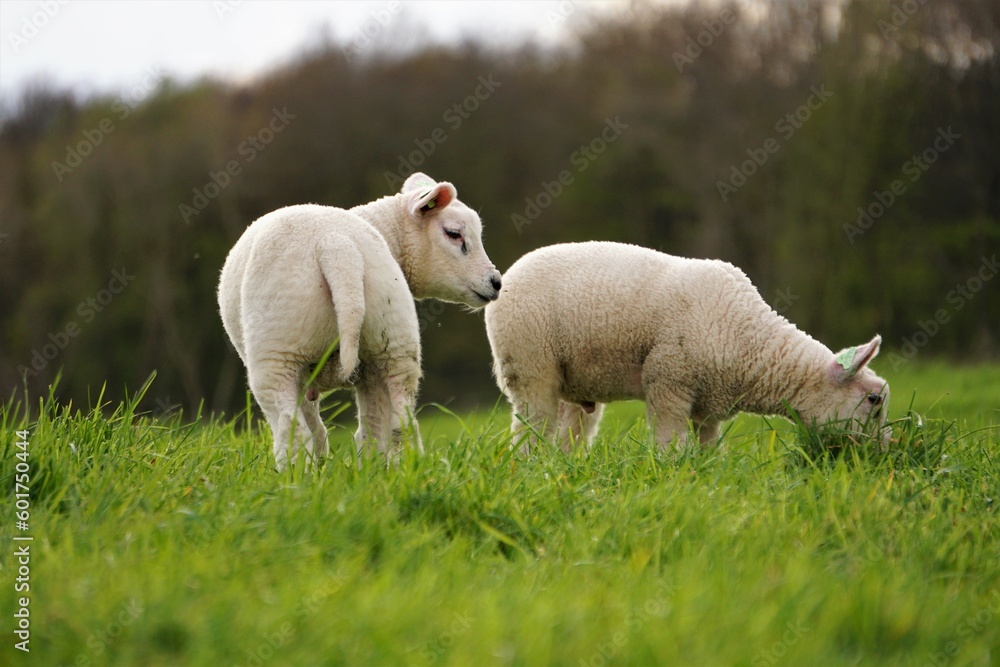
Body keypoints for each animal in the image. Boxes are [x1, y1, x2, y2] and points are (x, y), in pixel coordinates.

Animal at [218, 173, 502, 470]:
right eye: (453, 233)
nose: (496, 282)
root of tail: (335, 246)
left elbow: (314, 426)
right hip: (393, 338)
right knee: (396, 424)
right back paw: (392, 470)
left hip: (278, 350)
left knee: (292, 428)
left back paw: (294, 476)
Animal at [484, 241, 889, 453]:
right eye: (874, 400)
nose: (889, 451)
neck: (755, 344)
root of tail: (509, 274)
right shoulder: (669, 381)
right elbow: (671, 444)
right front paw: (670, 472)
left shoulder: (709, 402)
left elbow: (710, 448)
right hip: (531, 367)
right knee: (531, 428)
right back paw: (532, 467)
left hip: (577, 382)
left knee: (571, 433)